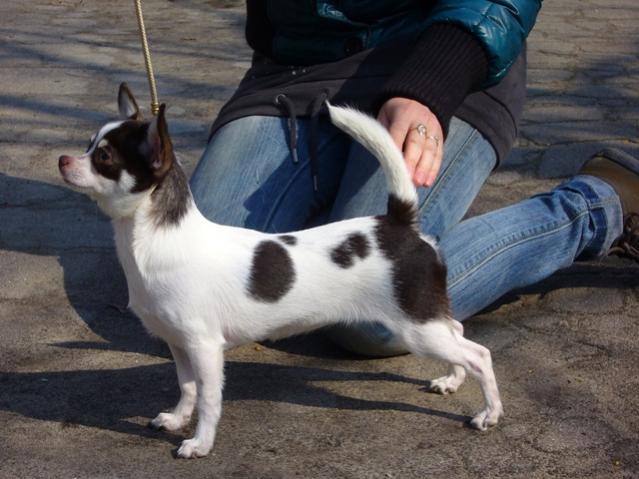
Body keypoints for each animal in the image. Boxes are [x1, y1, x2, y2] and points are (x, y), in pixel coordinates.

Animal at [58, 83, 503, 458]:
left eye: (104, 157)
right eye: (88, 145)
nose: (62, 159)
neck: (156, 241)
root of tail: (397, 223)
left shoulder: (204, 348)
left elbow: (208, 399)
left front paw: (200, 443)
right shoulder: (179, 344)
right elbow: (186, 388)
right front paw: (177, 418)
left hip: (415, 328)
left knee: (479, 353)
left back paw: (489, 413)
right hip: (425, 319)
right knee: (459, 331)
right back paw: (451, 380)